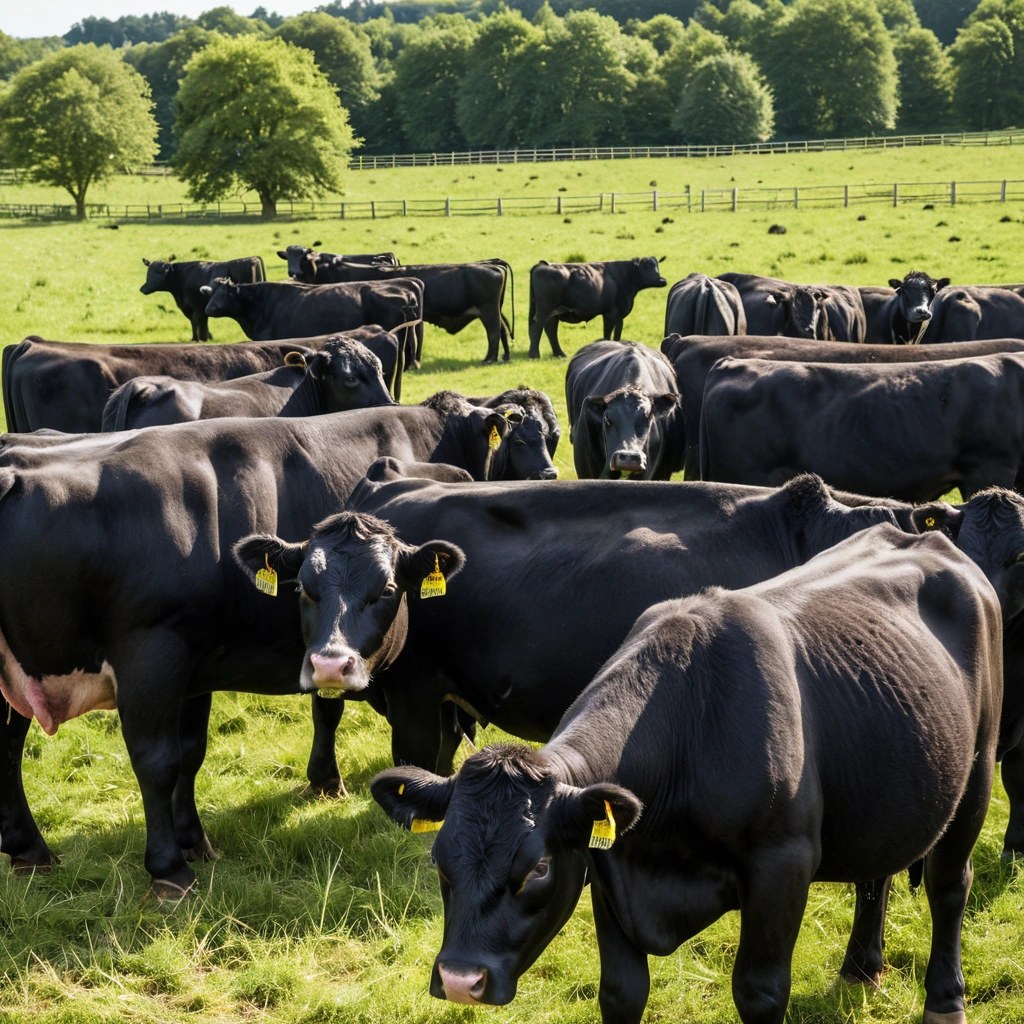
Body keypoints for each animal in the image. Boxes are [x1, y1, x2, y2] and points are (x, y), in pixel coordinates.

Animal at [0, 396, 519, 895]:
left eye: (387, 590)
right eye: (302, 588)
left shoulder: (195, 666)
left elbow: (193, 752)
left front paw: (195, 842)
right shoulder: (153, 655)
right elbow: (158, 761)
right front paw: (170, 868)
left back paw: (29, 849)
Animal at [315, 258, 514, 365]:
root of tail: (492, 264)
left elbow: (413, 339)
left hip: (488, 311)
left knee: (494, 332)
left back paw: (490, 358)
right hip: (493, 311)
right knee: (502, 330)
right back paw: (504, 356)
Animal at [371, 524, 1001, 1024]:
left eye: (540, 866)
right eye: (440, 858)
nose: (460, 980)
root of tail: (925, 535)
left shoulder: (783, 865)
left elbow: (760, 992)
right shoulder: (611, 870)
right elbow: (621, 992)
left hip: (976, 773)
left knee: (949, 884)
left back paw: (945, 1001)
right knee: (878, 874)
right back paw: (861, 969)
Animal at [527, 257, 666, 358]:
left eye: (657, 265)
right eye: (647, 266)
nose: (662, 280)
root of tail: (545, 264)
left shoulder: (620, 315)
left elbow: (617, 333)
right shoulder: (610, 313)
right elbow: (607, 333)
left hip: (553, 312)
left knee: (550, 329)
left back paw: (559, 354)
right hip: (544, 309)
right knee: (537, 326)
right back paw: (534, 355)